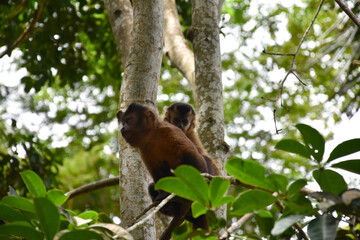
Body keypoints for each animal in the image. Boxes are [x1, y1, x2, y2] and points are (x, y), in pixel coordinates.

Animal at [116, 102, 210, 240]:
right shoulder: (144, 147)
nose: (123, 128)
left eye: (128, 120)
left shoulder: (170, 130)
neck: (154, 135)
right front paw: (162, 195)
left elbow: (193, 156)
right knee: (151, 187)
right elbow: (157, 174)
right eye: (123, 122)